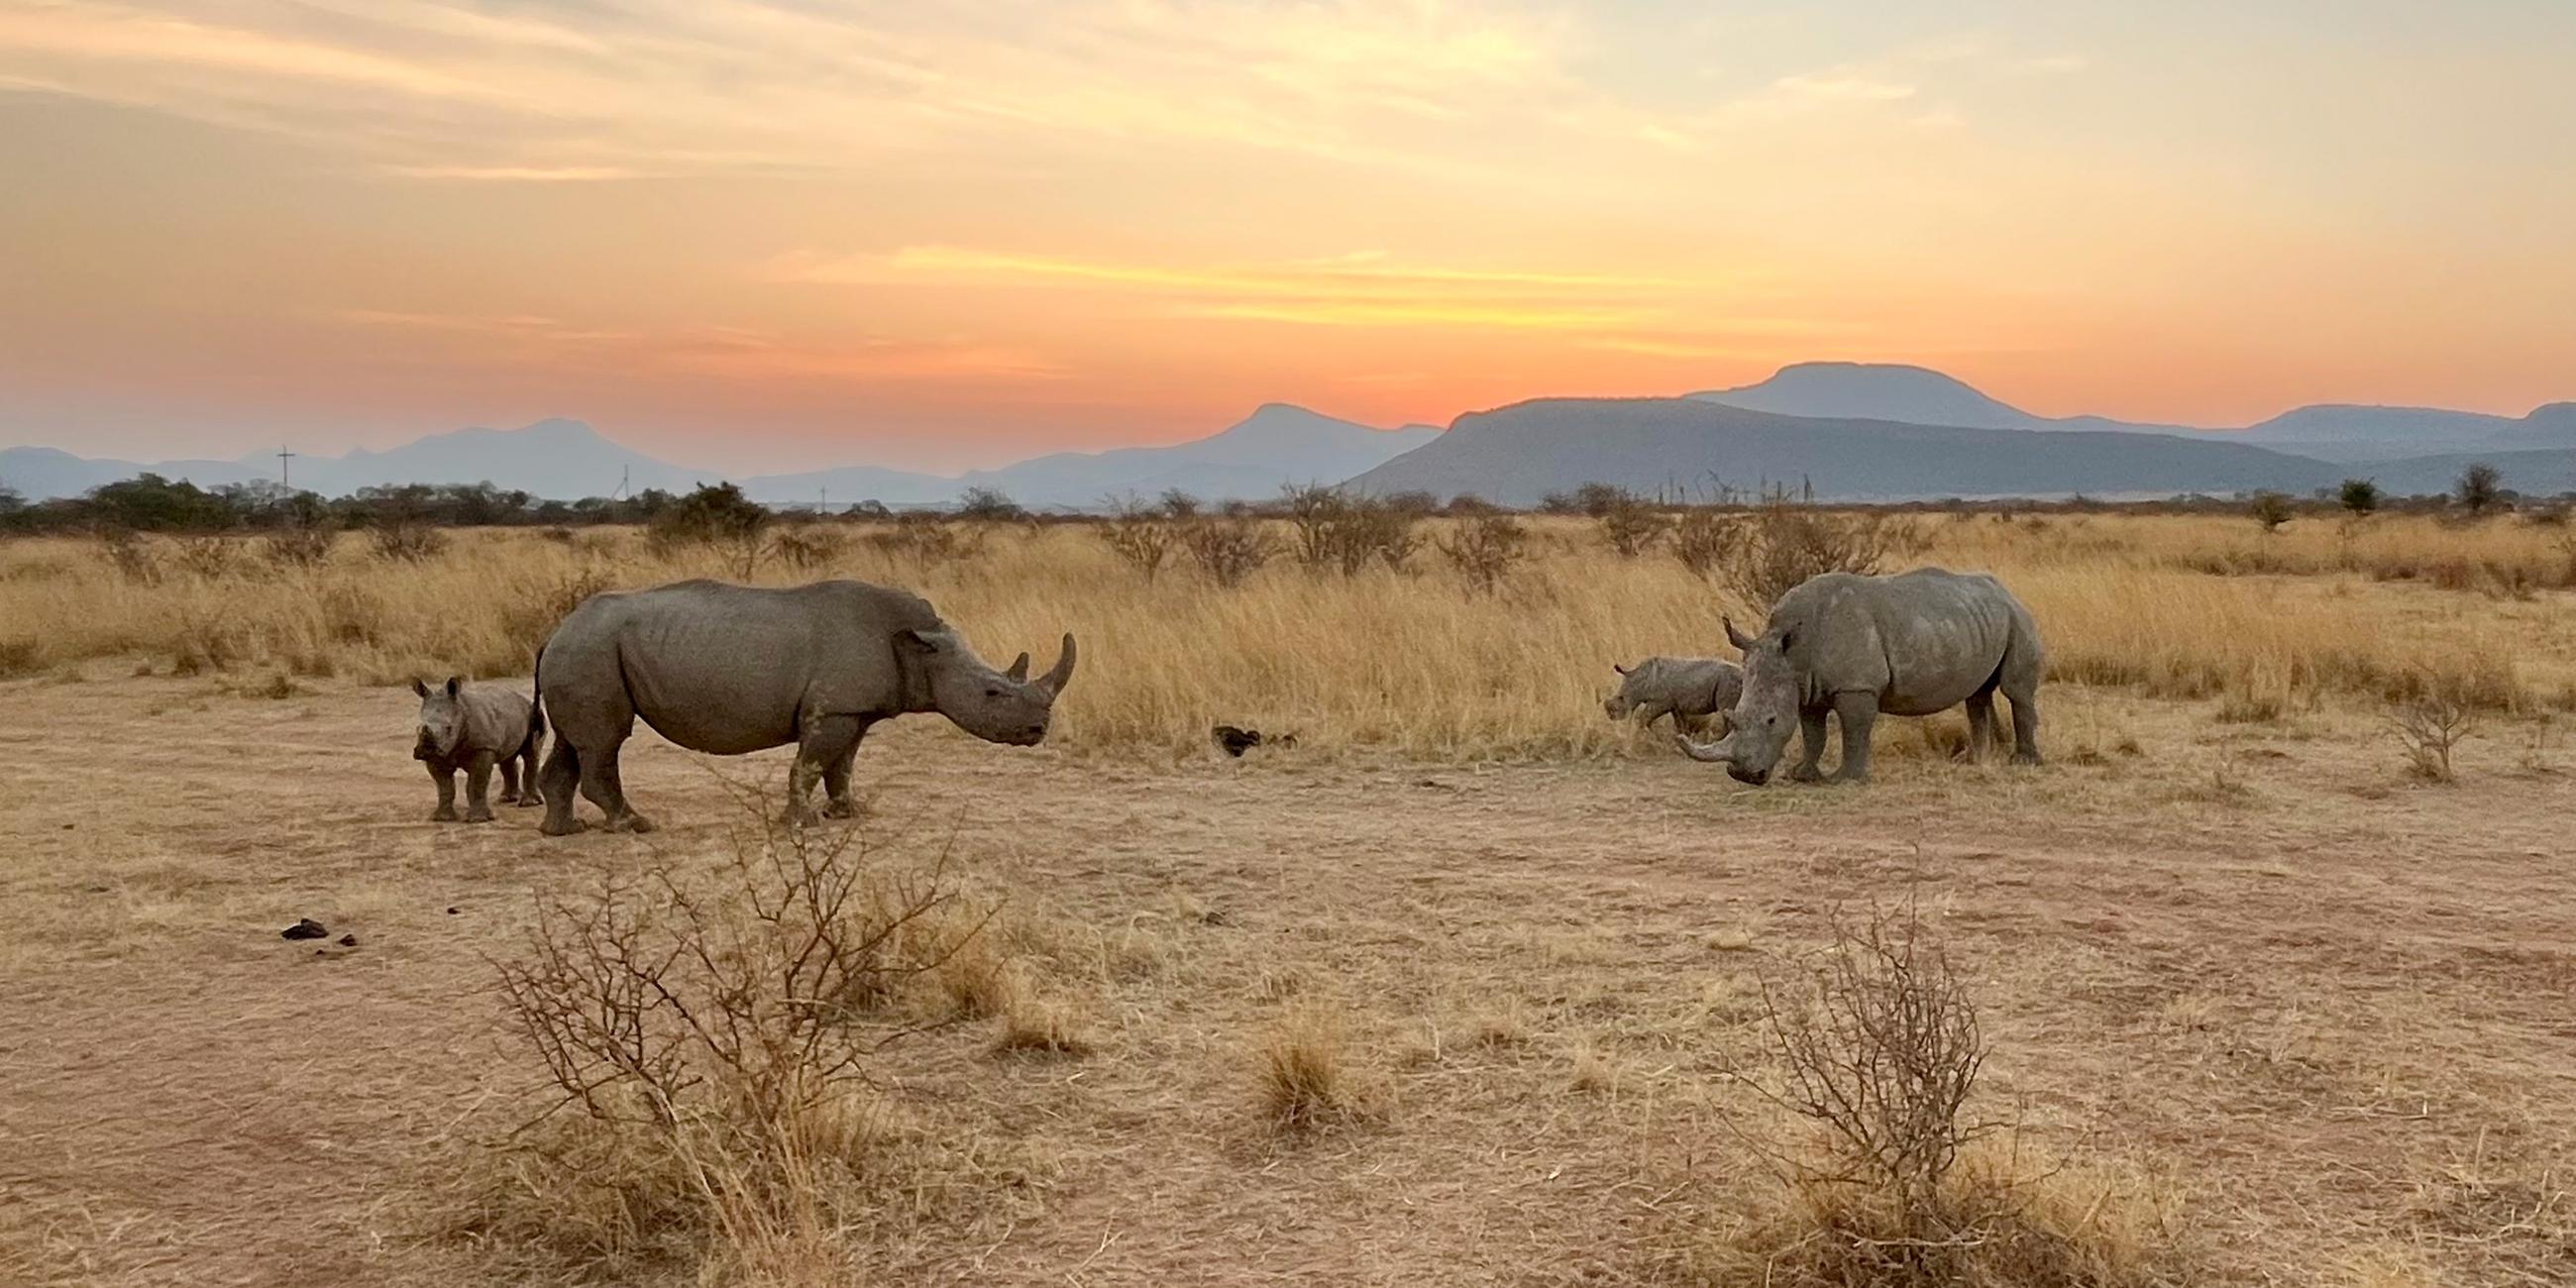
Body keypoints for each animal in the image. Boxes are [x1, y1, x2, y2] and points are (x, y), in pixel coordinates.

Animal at [412, 675, 543, 824]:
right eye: (418, 728)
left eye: (449, 728)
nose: (426, 750)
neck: (460, 710)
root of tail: (523, 698)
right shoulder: (439, 754)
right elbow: (445, 787)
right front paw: (442, 818)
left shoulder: (483, 747)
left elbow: (476, 784)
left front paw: (478, 819)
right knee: (507, 759)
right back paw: (507, 799)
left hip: (534, 712)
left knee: (531, 753)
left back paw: (529, 803)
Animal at [1597, 659, 1741, 741]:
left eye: (1621, 699)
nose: (1612, 718)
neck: (1639, 679)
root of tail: (1742, 673)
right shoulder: (1674, 704)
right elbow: (1680, 722)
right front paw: (1683, 739)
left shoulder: (1661, 702)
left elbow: (1644, 718)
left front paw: (1646, 737)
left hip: (1727, 681)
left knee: (1725, 710)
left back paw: (1717, 741)